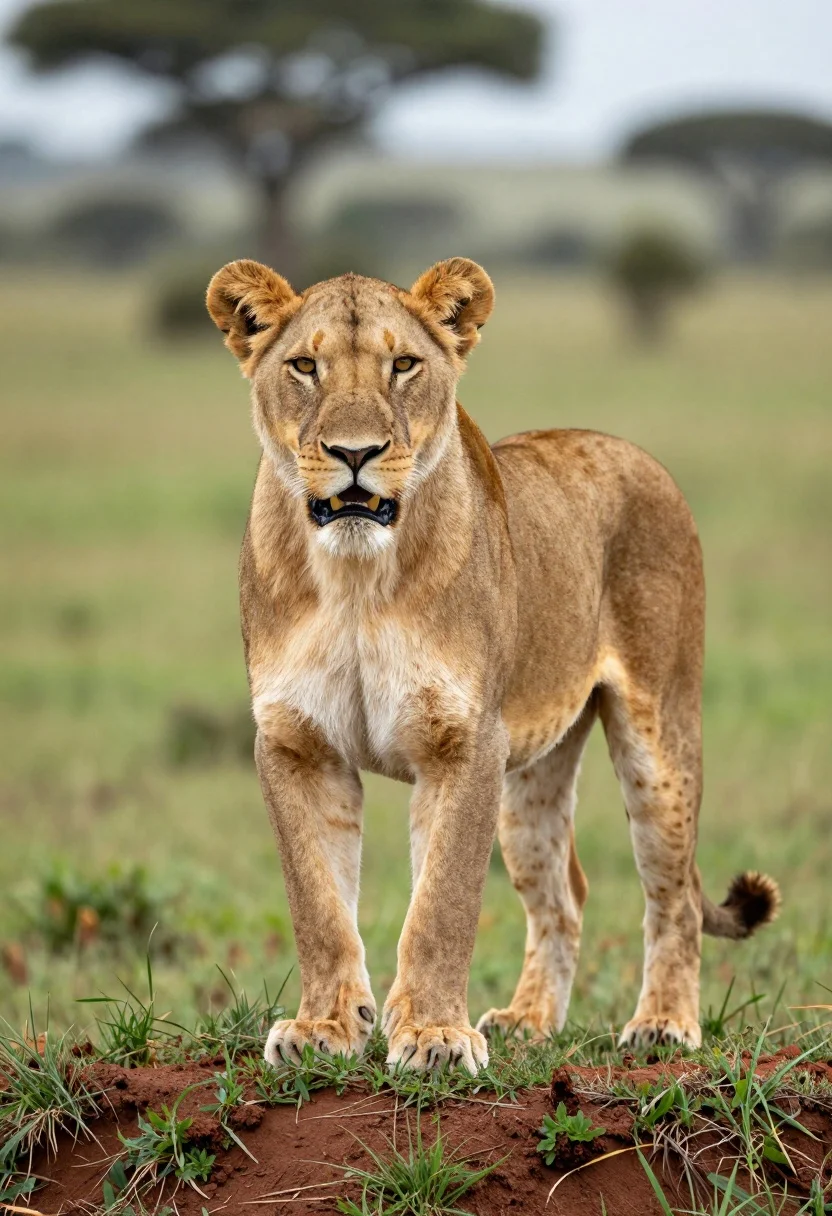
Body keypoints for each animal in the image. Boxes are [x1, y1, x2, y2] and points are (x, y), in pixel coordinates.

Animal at [205, 256, 779, 1073]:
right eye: (305, 368)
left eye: (403, 365)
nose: (355, 454)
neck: (354, 578)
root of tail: (631, 451)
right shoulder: (296, 742)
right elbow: (317, 901)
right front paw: (326, 1028)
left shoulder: (463, 742)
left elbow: (441, 903)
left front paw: (434, 1036)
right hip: (529, 773)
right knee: (564, 894)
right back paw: (528, 1021)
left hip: (658, 737)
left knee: (672, 893)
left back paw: (664, 1025)